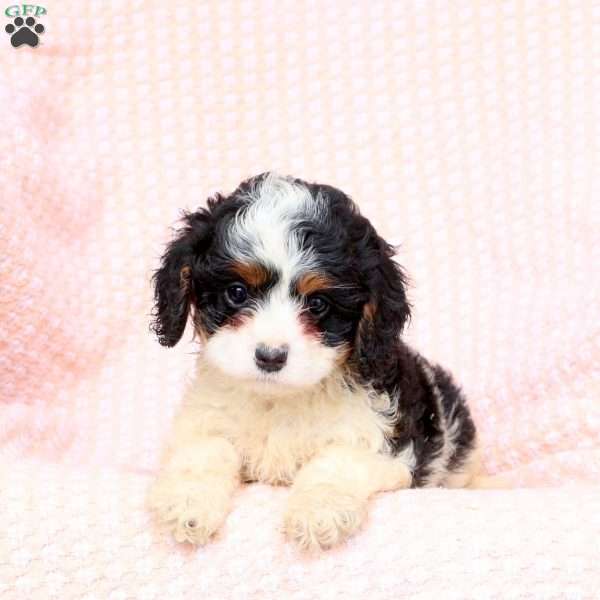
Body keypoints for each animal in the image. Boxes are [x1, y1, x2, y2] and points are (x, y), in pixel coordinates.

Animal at [148, 171, 480, 552]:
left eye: (318, 304)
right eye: (237, 292)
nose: (270, 357)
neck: (278, 401)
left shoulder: (386, 446)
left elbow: (336, 461)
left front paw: (318, 511)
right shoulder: (204, 419)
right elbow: (206, 449)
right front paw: (187, 503)